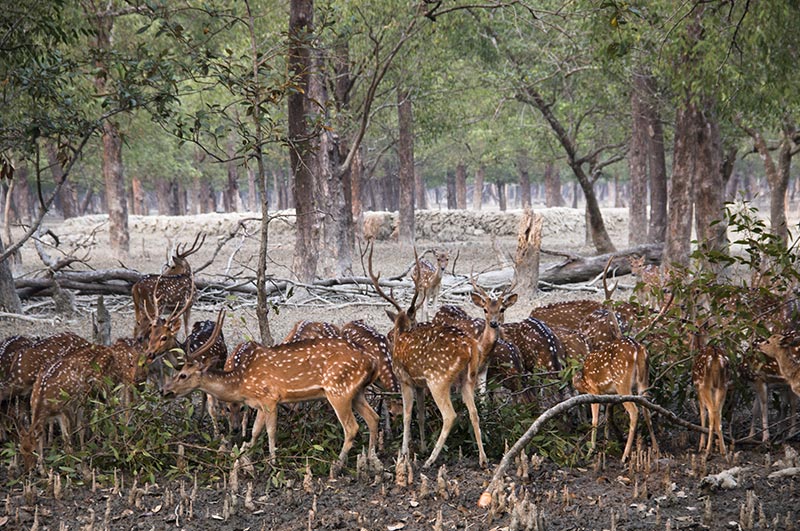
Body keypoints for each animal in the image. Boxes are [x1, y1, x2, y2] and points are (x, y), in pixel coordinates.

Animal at [162, 310, 382, 476]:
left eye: (182, 375)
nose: (165, 391)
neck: (241, 383)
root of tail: (371, 362)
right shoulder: (259, 403)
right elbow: (255, 431)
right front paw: (246, 459)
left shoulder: (270, 398)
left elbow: (270, 430)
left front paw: (272, 463)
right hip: (356, 392)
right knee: (373, 418)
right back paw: (373, 460)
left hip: (338, 390)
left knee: (352, 427)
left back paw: (336, 467)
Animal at [370, 243, 516, 468]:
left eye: (501, 309)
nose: (494, 322)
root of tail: (469, 347)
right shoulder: (420, 384)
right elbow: (421, 414)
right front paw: (420, 447)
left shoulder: (405, 378)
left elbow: (407, 415)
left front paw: (404, 453)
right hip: (465, 379)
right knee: (474, 411)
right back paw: (483, 458)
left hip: (438, 379)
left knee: (450, 415)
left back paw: (431, 460)